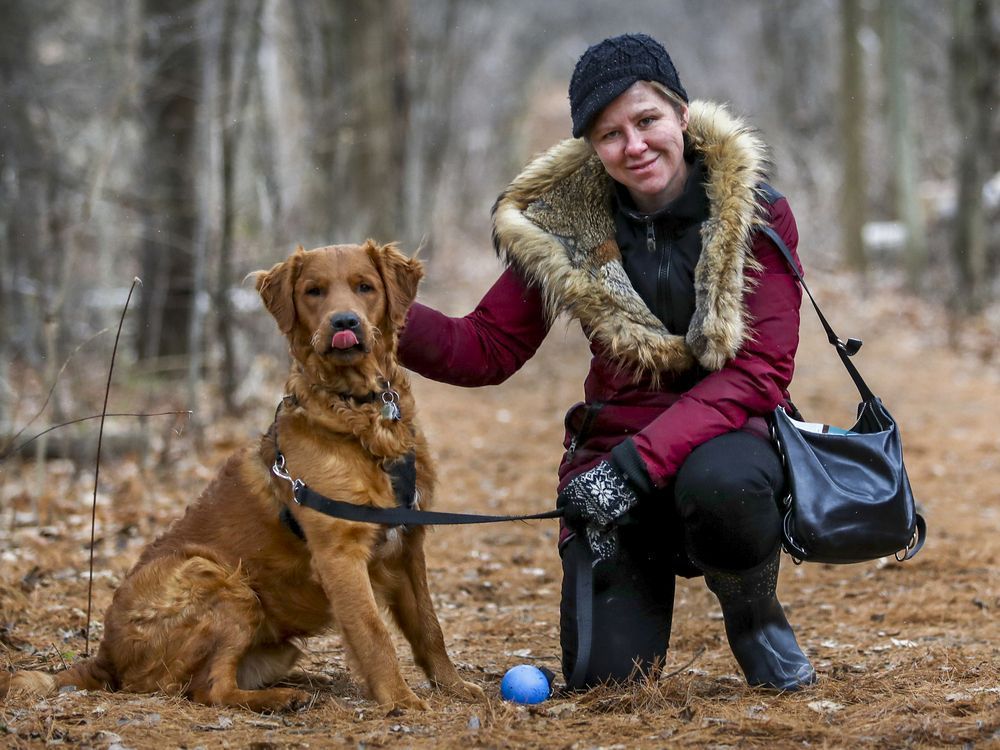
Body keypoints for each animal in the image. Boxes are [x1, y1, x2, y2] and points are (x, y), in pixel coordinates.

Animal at [0, 244, 484, 712]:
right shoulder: (340, 553)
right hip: (218, 579)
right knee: (207, 689)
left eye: (365, 287)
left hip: (270, 635)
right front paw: (400, 699)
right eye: (314, 291)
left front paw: (454, 686)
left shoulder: (408, 545)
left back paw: (302, 682)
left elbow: (429, 627)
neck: (359, 411)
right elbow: (373, 631)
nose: (344, 322)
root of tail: (104, 656)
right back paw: (281, 698)